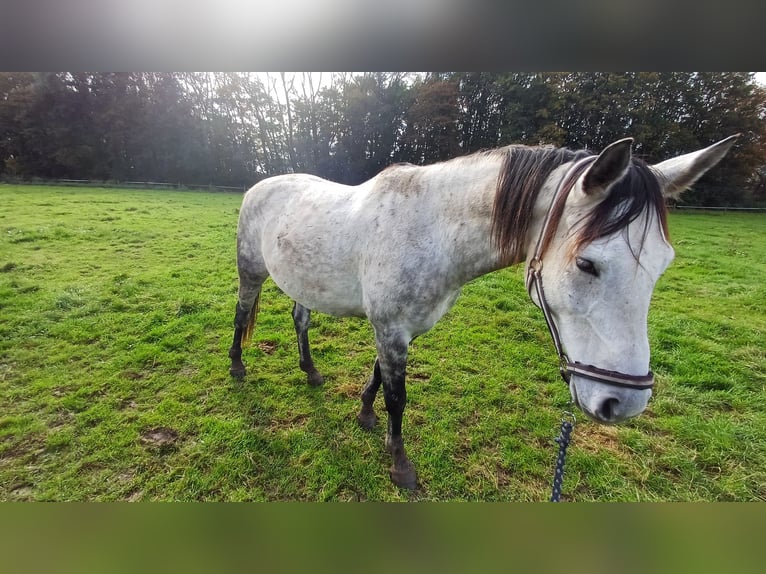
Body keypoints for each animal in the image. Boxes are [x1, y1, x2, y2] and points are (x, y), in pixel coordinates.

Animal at [226, 135, 736, 490]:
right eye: (587, 263)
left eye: (663, 264)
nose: (623, 404)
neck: (430, 230)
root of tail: (261, 185)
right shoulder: (390, 327)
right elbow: (398, 398)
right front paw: (401, 467)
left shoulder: (397, 327)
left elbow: (377, 377)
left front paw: (365, 416)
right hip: (251, 271)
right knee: (241, 314)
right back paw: (236, 367)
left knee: (300, 319)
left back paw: (310, 371)